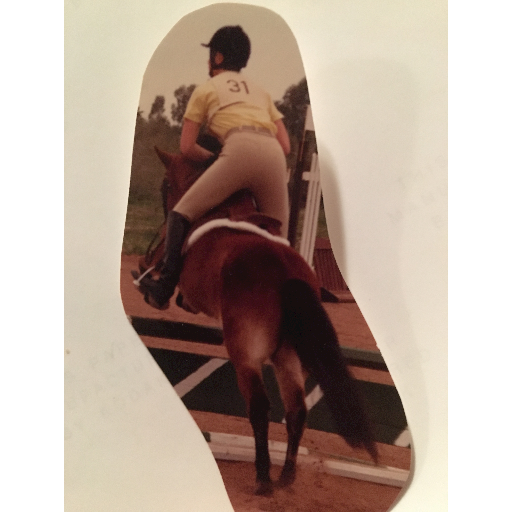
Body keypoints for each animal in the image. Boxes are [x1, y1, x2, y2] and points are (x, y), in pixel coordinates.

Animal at [134, 146, 378, 495]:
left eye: (165, 185)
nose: (166, 210)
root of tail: (287, 275)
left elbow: (169, 279)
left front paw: (152, 284)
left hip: (245, 354)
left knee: (260, 407)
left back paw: (263, 477)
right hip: (288, 357)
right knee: (296, 410)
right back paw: (286, 477)